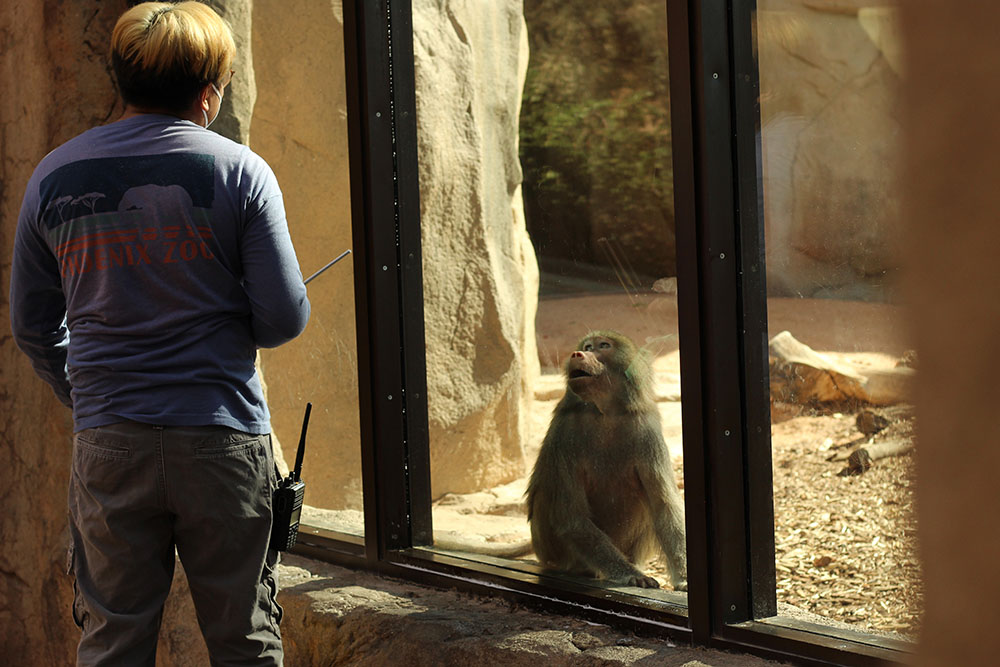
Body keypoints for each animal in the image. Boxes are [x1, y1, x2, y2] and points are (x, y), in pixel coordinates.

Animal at [526, 330, 687, 590]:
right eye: (587, 347)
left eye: (603, 346)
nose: (577, 353)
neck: (605, 412)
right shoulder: (565, 431)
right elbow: (571, 517)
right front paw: (631, 575)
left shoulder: (646, 428)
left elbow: (664, 505)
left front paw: (684, 578)